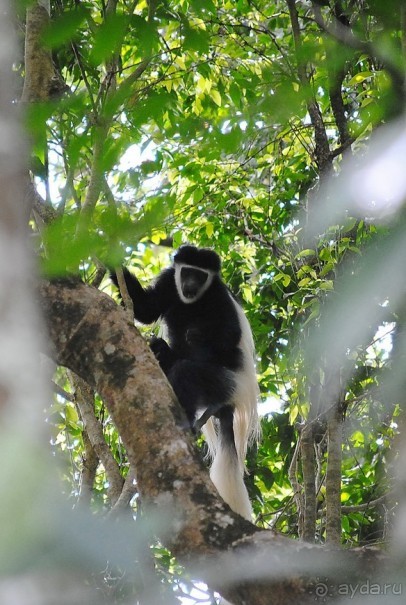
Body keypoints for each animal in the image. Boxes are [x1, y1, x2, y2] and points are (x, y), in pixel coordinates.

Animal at [112, 245, 258, 520]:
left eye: (200, 276)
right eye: (187, 272)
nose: (190, 285)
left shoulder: (218, 298)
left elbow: (228, 337)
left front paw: (195, 335)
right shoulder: (170, 281)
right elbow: (146, 308)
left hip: (225, 383)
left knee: (188, 371)